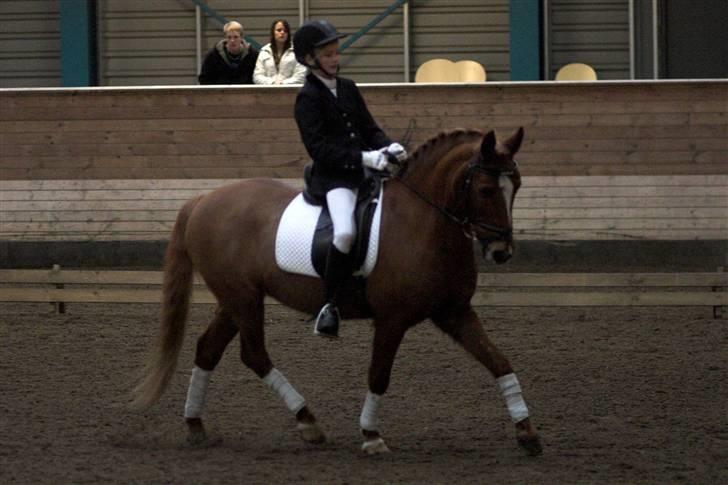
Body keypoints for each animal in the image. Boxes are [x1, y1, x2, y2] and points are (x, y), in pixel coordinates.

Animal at [131, 127, 542, 456]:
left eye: (518, 186)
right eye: (486, 189)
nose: (501, 252)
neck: (423, 224)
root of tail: (203, 199)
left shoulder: (454, 312)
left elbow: (499, 362)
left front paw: (527, 433)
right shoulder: (392, 319)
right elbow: (379, 374)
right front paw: (372, 436)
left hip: (235, 299)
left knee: (209, 349)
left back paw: (196, 426)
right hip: (242, 298)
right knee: (254, 354)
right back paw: (308, 422)